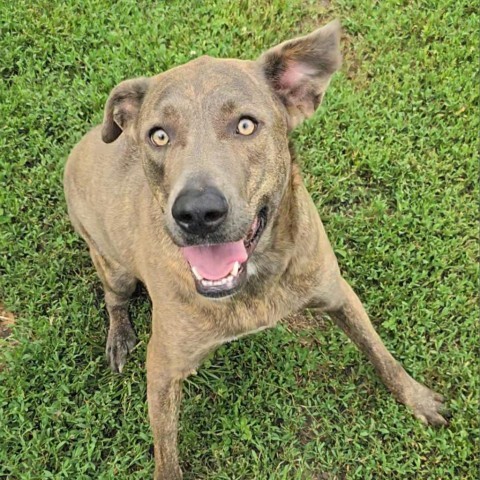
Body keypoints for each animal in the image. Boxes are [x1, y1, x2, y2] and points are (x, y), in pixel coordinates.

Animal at [63, 19, 446, 480]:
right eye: (159, 135)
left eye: (246, 125)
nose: (197, 212)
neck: (256, 281)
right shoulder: (163, 368)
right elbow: (166, 451)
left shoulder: (338, 293)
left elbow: (381, 353)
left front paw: (417, 397)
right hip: (111, 265)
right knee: (113, 299)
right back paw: (119, 335)